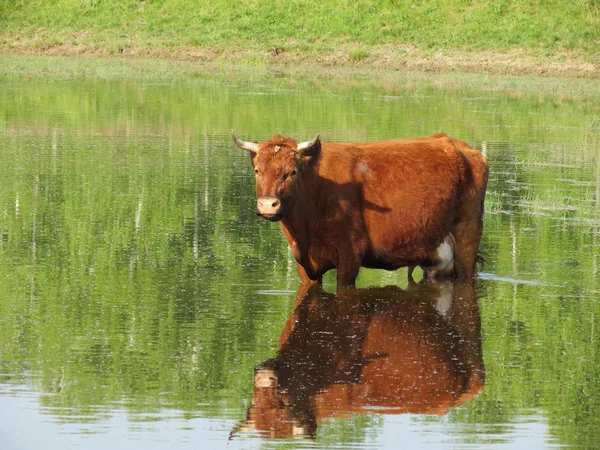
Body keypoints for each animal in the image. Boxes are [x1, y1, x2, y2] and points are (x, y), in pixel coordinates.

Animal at [231, 130, 488, 288]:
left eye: (292, 171)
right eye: (257, 170)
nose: (268, 204)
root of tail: (461, 147)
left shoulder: (350, 255)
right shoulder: (304, 266)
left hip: (467, 237)